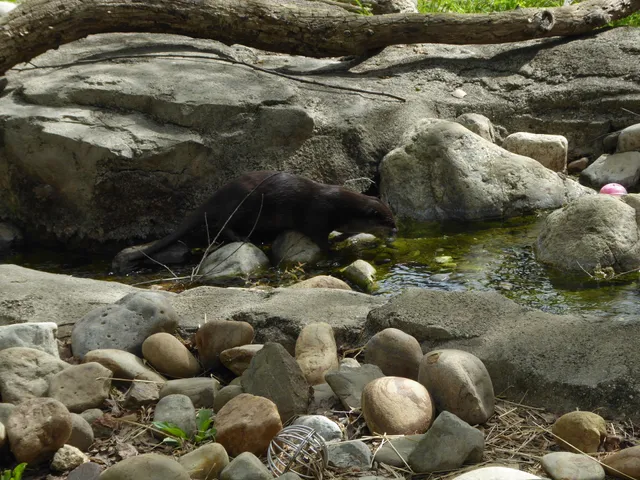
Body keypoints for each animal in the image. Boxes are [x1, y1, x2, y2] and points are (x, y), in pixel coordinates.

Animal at [113, 171, 397, 273]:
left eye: (393, 218)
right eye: (386, 221)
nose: (396, 230)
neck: (341, 207)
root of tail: (219, 194)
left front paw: (343, 238)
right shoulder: (318, 215)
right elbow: (319, 239)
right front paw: (333, 252)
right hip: (244, 208)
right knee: (222, 224)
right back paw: (241, 238)